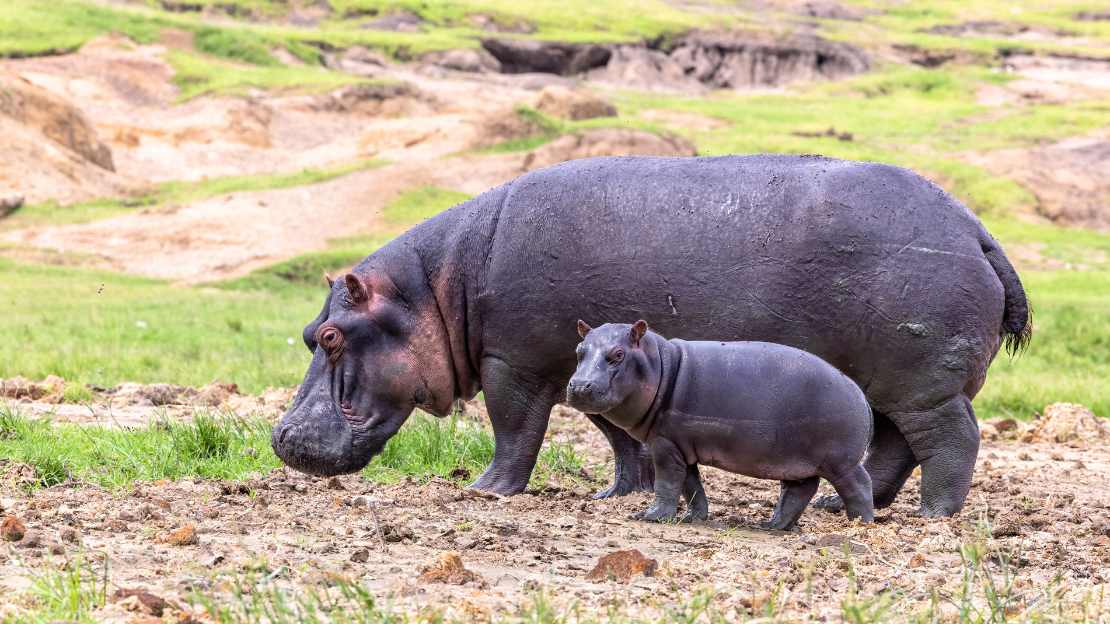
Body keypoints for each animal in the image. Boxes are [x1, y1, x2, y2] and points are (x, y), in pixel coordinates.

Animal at [566, 320, 874, 528]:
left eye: (618, 354)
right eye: (579, 350)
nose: (580, 386)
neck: (660, 365)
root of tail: (862, 397)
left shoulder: (664, 445)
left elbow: (667, 483)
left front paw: (649, 516)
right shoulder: (680, 447)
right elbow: (691, 485)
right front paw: (694, 518)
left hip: (840, 461)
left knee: (859, 485)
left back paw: (860, 522)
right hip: (799, 462)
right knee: (799, 491)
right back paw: (772, 525)